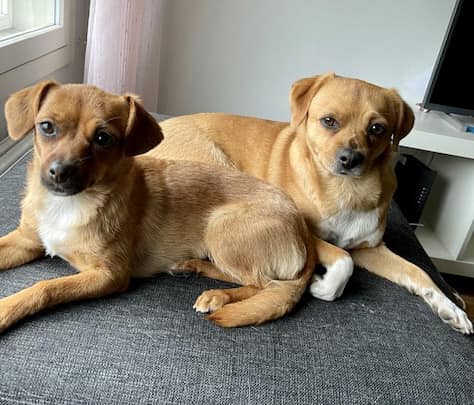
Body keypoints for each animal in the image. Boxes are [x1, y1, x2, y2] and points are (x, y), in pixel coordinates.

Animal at [0, 81, 319, 332]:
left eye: (103, 138)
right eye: (46, 127)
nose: (59, 172)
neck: (70, 203)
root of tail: (301, 228)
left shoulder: (108, 275)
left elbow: (46, 288)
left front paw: (5, 309)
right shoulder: (26, 241)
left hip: (221, 227)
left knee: (265, 284)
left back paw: (218, 296)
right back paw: (192, 266)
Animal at [152, 72, 473, 334]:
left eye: (377, 128)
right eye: (329, 121)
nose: (350, 159)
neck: (347, 190)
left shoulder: (369, 249)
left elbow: (419, 272)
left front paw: (450, 308)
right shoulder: (312, 237)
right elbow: (343, 261)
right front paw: (322, 287)